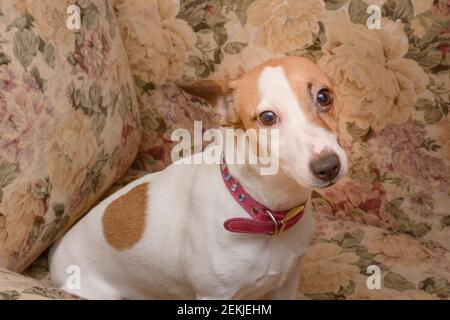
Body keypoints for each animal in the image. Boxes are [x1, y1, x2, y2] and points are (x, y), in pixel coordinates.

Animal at [51, 57, 350, 300]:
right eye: (267, 117)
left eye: (324, 96)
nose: (328, 166)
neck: (261, 208)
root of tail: (55, 254)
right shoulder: (213, 294)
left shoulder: (285, 285)